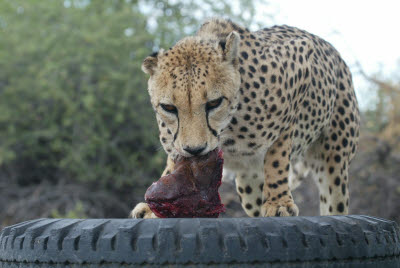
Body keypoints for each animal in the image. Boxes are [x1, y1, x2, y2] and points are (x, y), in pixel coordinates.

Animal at [130, 17, 360, 218]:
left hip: (334, 160)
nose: (195, 150)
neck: (229, 129)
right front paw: (154, 205)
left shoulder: (300, 64)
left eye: (214, 103)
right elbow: (172, 165)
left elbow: (277, 154)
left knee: (335, 202)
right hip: (248, 186)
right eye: (169, 107)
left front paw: (278, 201)